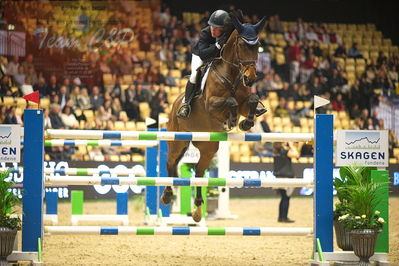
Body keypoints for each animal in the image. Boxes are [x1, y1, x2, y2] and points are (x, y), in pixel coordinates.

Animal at [161, 15, 268, 221]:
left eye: (258, 45)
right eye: (241, 45)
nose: (250, 78)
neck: (232, 74)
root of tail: (175, 103)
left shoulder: (245, 102)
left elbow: (251, 100)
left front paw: (245, 122)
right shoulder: (211, 105)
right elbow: (231, 102)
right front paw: (232, 121)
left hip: (208, 147)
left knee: (199, 172)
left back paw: (197, 208)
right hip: (177, 140)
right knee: (170, 163)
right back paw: (168, 195)